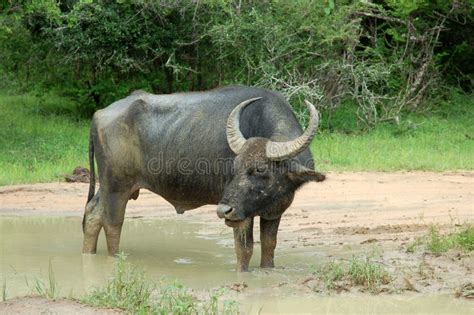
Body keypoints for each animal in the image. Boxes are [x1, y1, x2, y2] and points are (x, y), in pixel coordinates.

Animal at [82, 86, 326, 272]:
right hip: (117, 187)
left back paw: (88, 254)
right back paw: (113, 259)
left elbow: (269, 247)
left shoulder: (273, 212)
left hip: (107, 187)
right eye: (235, 166)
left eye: (260, 169)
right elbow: (245, 251)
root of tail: (98, 115)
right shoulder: (242, 216)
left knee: (93, 214)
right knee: (112, 224)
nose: (223, 210)